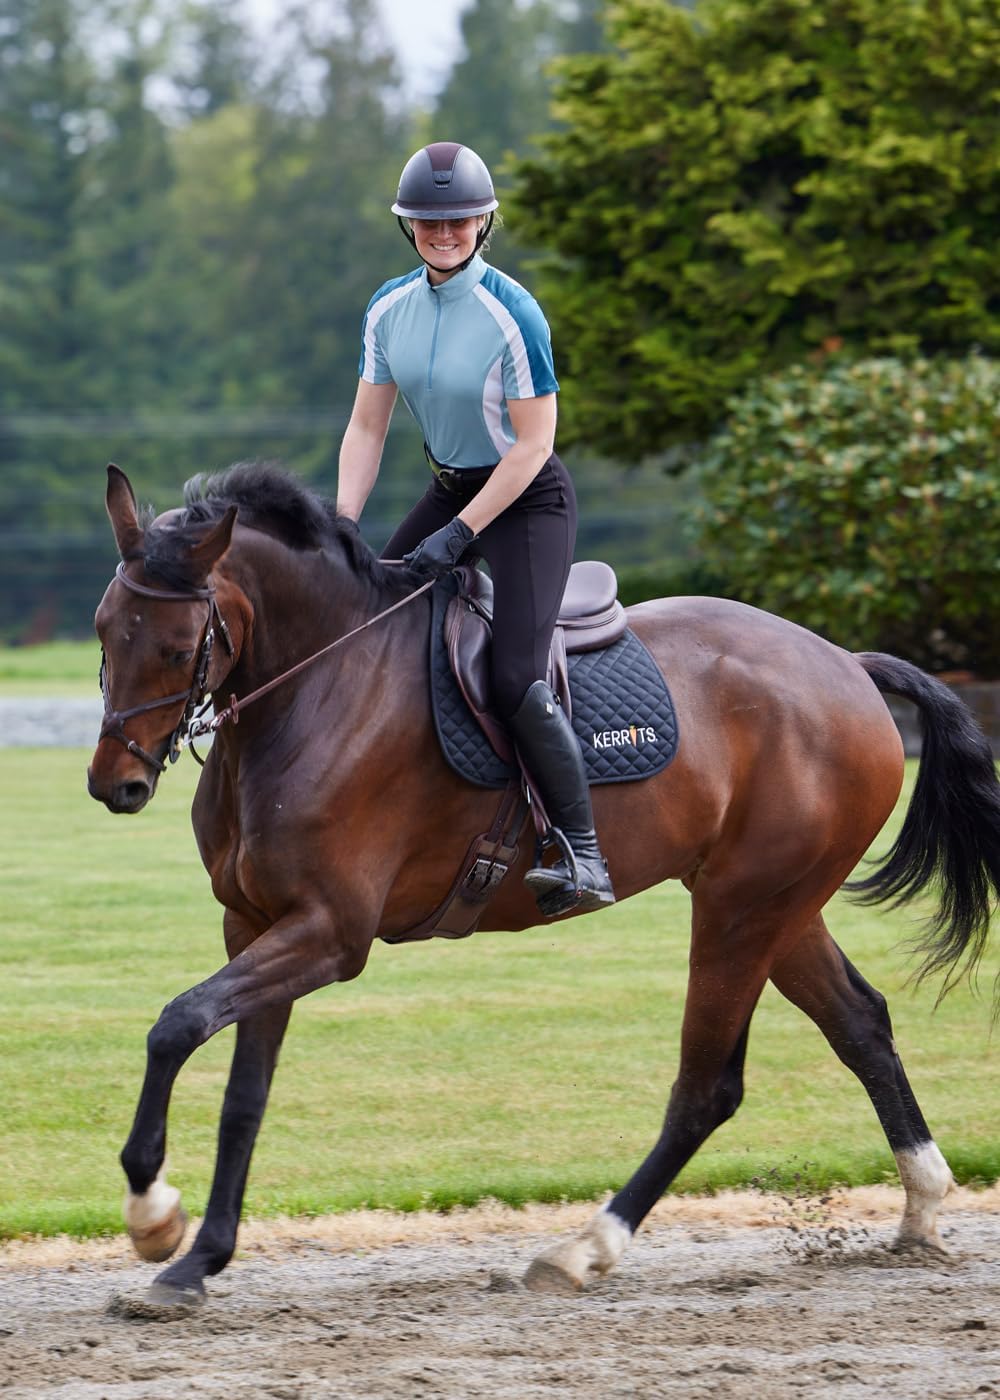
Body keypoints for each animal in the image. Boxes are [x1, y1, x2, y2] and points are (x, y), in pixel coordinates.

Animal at [87, 461, 1000, 1308]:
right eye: (103, 633)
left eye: (176, 648)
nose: (113, 786)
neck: (320, 683)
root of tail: (846, 663)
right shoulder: (256, 923)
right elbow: (244, 1094)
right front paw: (199, 1258)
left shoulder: (327, 935)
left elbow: (177, 1024)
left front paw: (151, 1211)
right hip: (775, 906)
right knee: (860, 1025)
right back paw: (922, 1208)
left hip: (744, 911)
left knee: (708, 1087)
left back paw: (584, 1248)